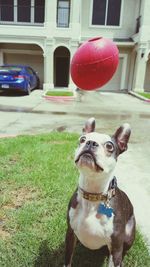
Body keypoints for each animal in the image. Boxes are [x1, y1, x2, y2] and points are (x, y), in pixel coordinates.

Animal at [64, 118, 136, 267]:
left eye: (109, 146)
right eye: (82, 139)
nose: (91, 143)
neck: (92, 195)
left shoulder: (116, 246)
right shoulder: (70, 234)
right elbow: (68, 260)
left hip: (128, 236)